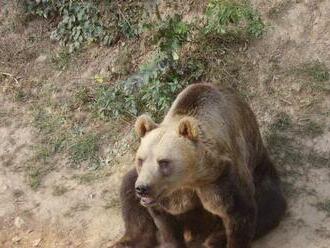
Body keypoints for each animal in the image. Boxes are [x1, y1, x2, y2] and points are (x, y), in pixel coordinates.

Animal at [113, 84, 286, 248]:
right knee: (128, 190)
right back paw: (124, 242)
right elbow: (165, 220)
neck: (191, 176)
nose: (143, 188)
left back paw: (215, 239)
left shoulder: (221, 176)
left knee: (269, 202)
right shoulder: (171, 195)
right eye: (141, 159)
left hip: (260, 168)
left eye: (163, 162)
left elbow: (239, 212)